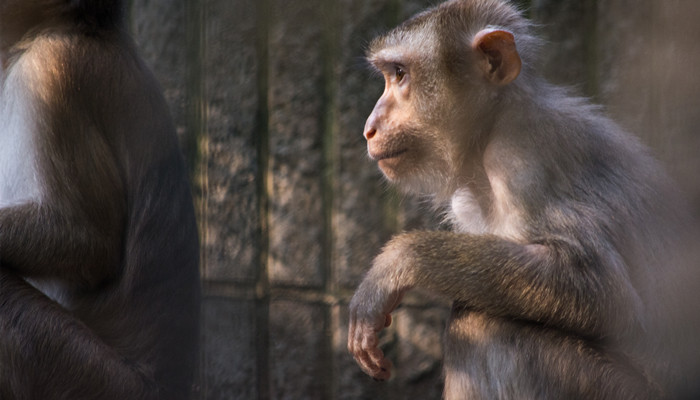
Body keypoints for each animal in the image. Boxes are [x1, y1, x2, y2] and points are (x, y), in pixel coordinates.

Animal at [348, 0, 700, 400]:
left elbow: (602, 289)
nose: (369, 127)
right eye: (390, 74)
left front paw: (397, 263)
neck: (492, 127)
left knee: (483, 324)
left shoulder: (523, 161)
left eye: (400, 73)